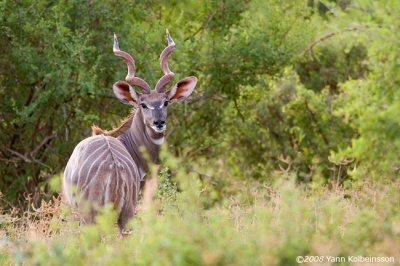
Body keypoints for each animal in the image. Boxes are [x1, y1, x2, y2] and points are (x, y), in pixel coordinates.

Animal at [62, 30, 197, 232]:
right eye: (143, 104)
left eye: (165, 102)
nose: (159, 122)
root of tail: (115, 171)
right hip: (126, 213)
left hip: (92, 216)